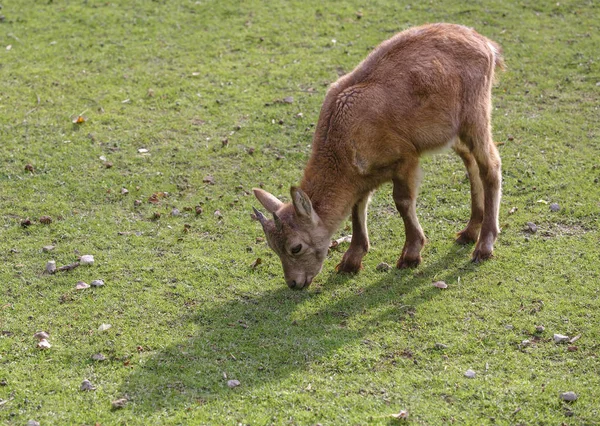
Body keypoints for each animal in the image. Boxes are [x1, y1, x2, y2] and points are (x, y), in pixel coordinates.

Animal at [251, 23, 504, 290]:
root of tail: (487, 45)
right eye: (272, 247)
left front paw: (410, 255)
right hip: (454, 133)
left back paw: (484, 246)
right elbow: (357, 207)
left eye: (296, 247)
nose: (294, 283)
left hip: (475, 115)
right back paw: (468, 232)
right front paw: (350, 261)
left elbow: (402, 201)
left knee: (490, 166)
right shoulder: (364, 175)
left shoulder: (405, 158)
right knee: (471, 162)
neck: (343, 134)